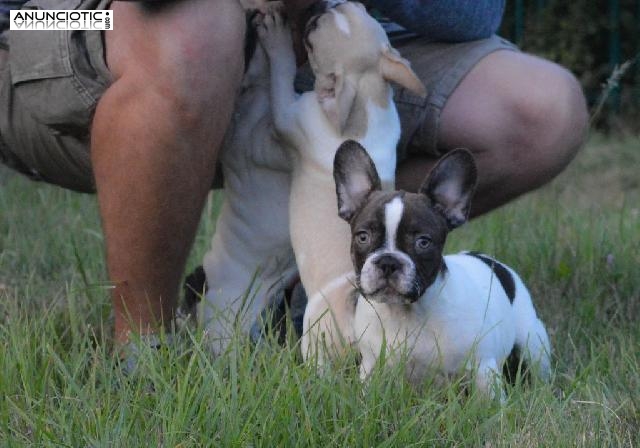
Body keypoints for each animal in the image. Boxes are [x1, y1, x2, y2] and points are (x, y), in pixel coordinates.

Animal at [255, 0, 424, 368]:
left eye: (314, 28)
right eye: (358, 5)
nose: (323, 3)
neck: (366, 92)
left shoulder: (288, 114)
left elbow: (280, 74)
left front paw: (274, 36)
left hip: (315, 325)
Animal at [336, 141, 552, 400]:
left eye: (423, 242)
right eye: (363, 237)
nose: (388, 262)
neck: (406, 314)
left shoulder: (483, 368)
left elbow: (488, 401)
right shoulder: (371, 366)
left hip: (532, 339)